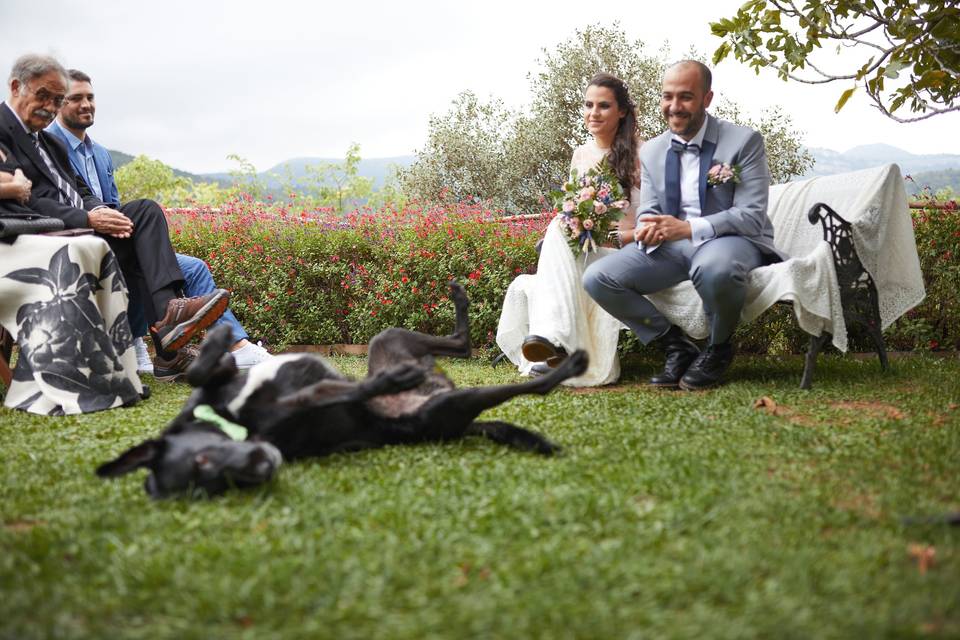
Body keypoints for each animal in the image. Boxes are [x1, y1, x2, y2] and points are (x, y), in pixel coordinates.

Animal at [101, 282, 588, 498]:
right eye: (207, 481)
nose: (263, 465)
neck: (226, 418)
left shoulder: (219, 381)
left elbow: (202, 369)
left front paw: (210, 333)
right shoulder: (292, 411)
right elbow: (328, 395)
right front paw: (381, 385)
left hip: (388, 338)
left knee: (463, 343)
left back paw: (458, 299)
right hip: (446, 404)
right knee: (528, 387)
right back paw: (566, 367)